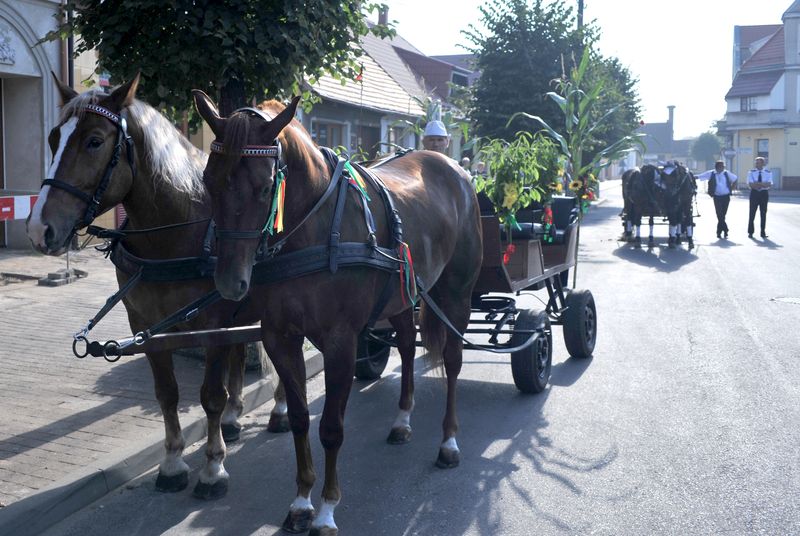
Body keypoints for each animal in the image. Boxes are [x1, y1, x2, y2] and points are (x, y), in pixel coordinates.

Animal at [194, 90, 482, 532]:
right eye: (209, 181)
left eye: (265, 187)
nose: (229, 282)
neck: (314, 228)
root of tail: (453, 167)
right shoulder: (280, 337)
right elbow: (299, 418)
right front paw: (301, 501)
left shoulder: (340, 342)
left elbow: (331, 427)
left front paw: (327, 508)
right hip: (402, 297)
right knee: (406, 347)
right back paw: (402, 420)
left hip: (456, 294)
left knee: (451, 361)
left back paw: (449, 441)